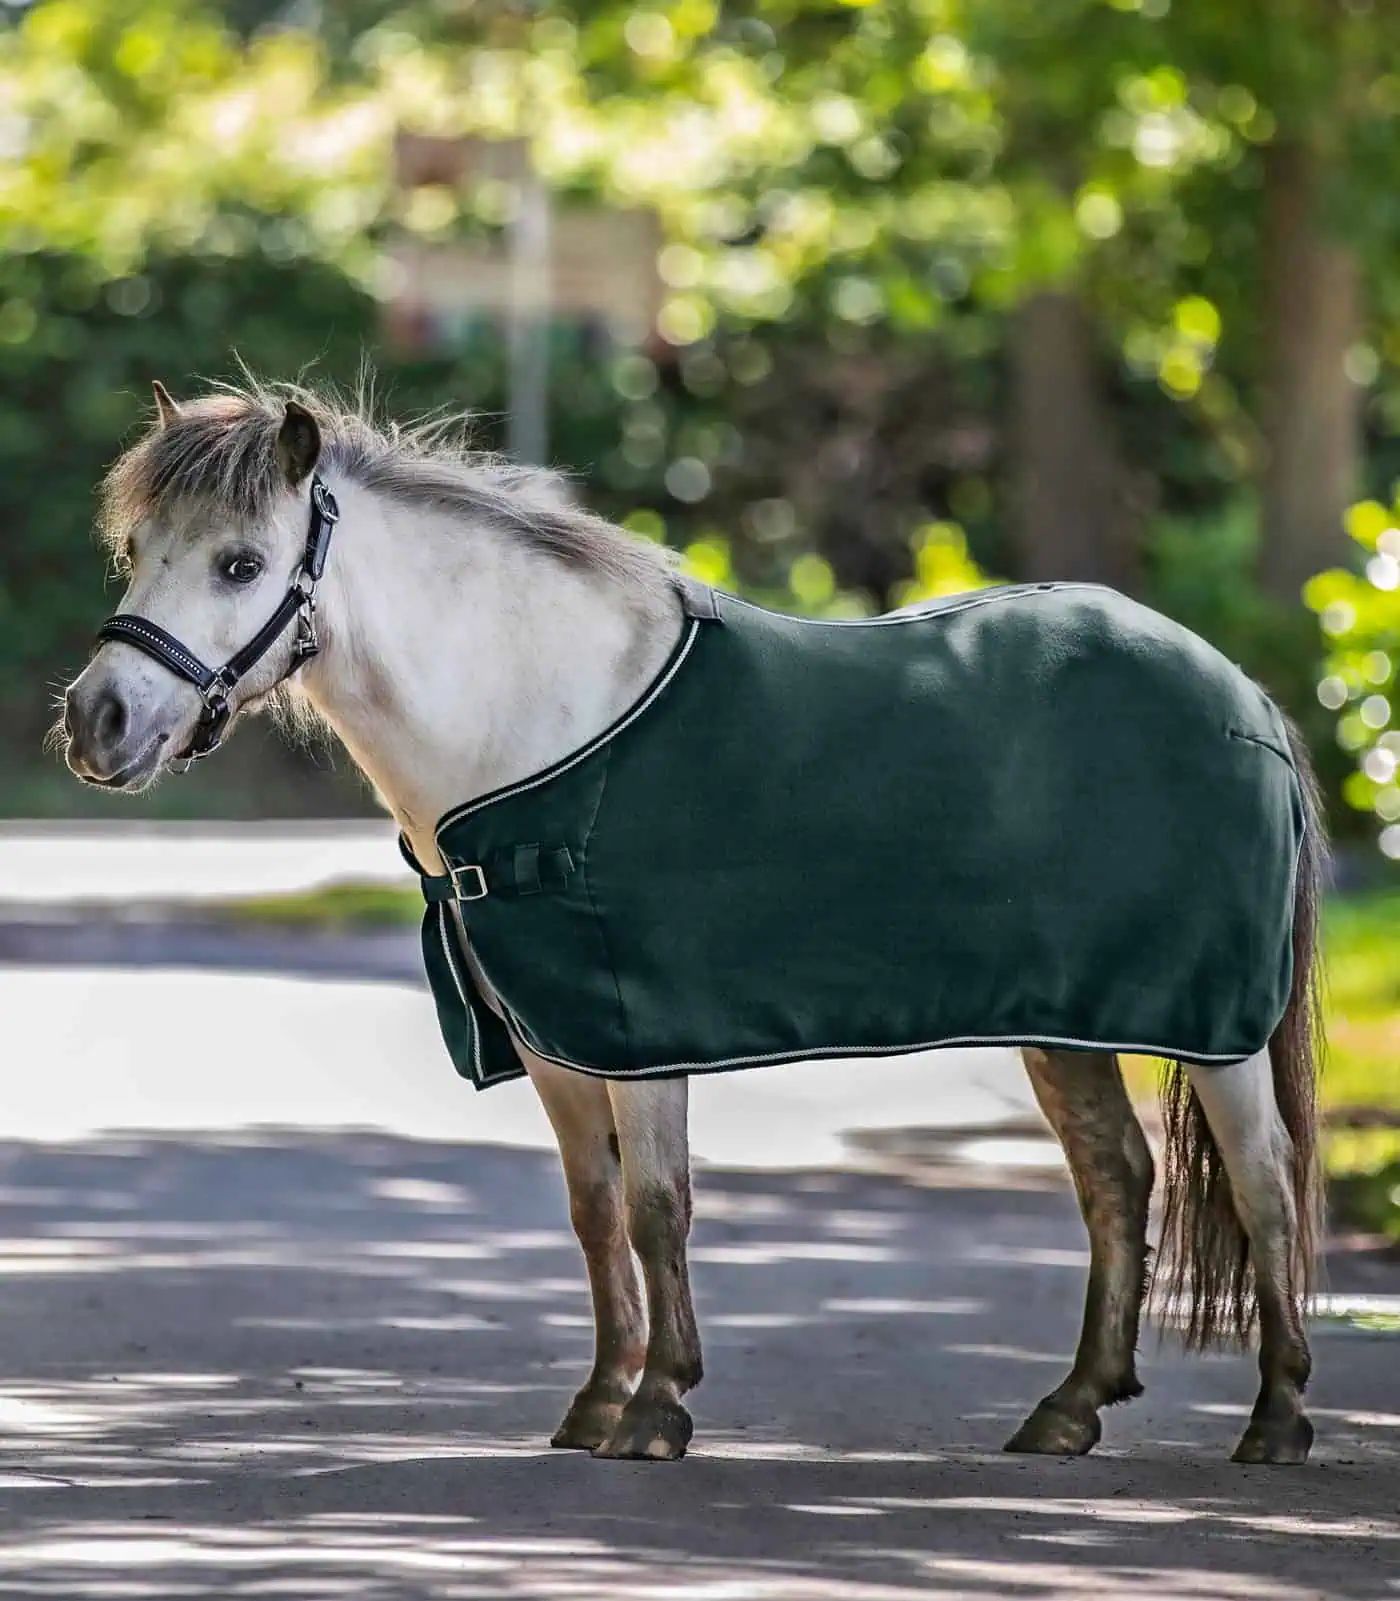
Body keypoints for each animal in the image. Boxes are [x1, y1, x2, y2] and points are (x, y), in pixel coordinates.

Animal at [61, 379, 1325, 1466]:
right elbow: (594, 1211)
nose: (97, 721)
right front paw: (597, 1398)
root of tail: (1243, 697)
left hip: (1213, 1026)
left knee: (1264, 1181)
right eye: (136, 552)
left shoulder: (633, 1027)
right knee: (1115, 1177)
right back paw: (1067, 1409)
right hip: (1068, 1023)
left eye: (240, 562)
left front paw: (657, 1405)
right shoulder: (552, 1039)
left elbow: (657, 1207)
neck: (535, 715)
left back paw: (1274, 1418)